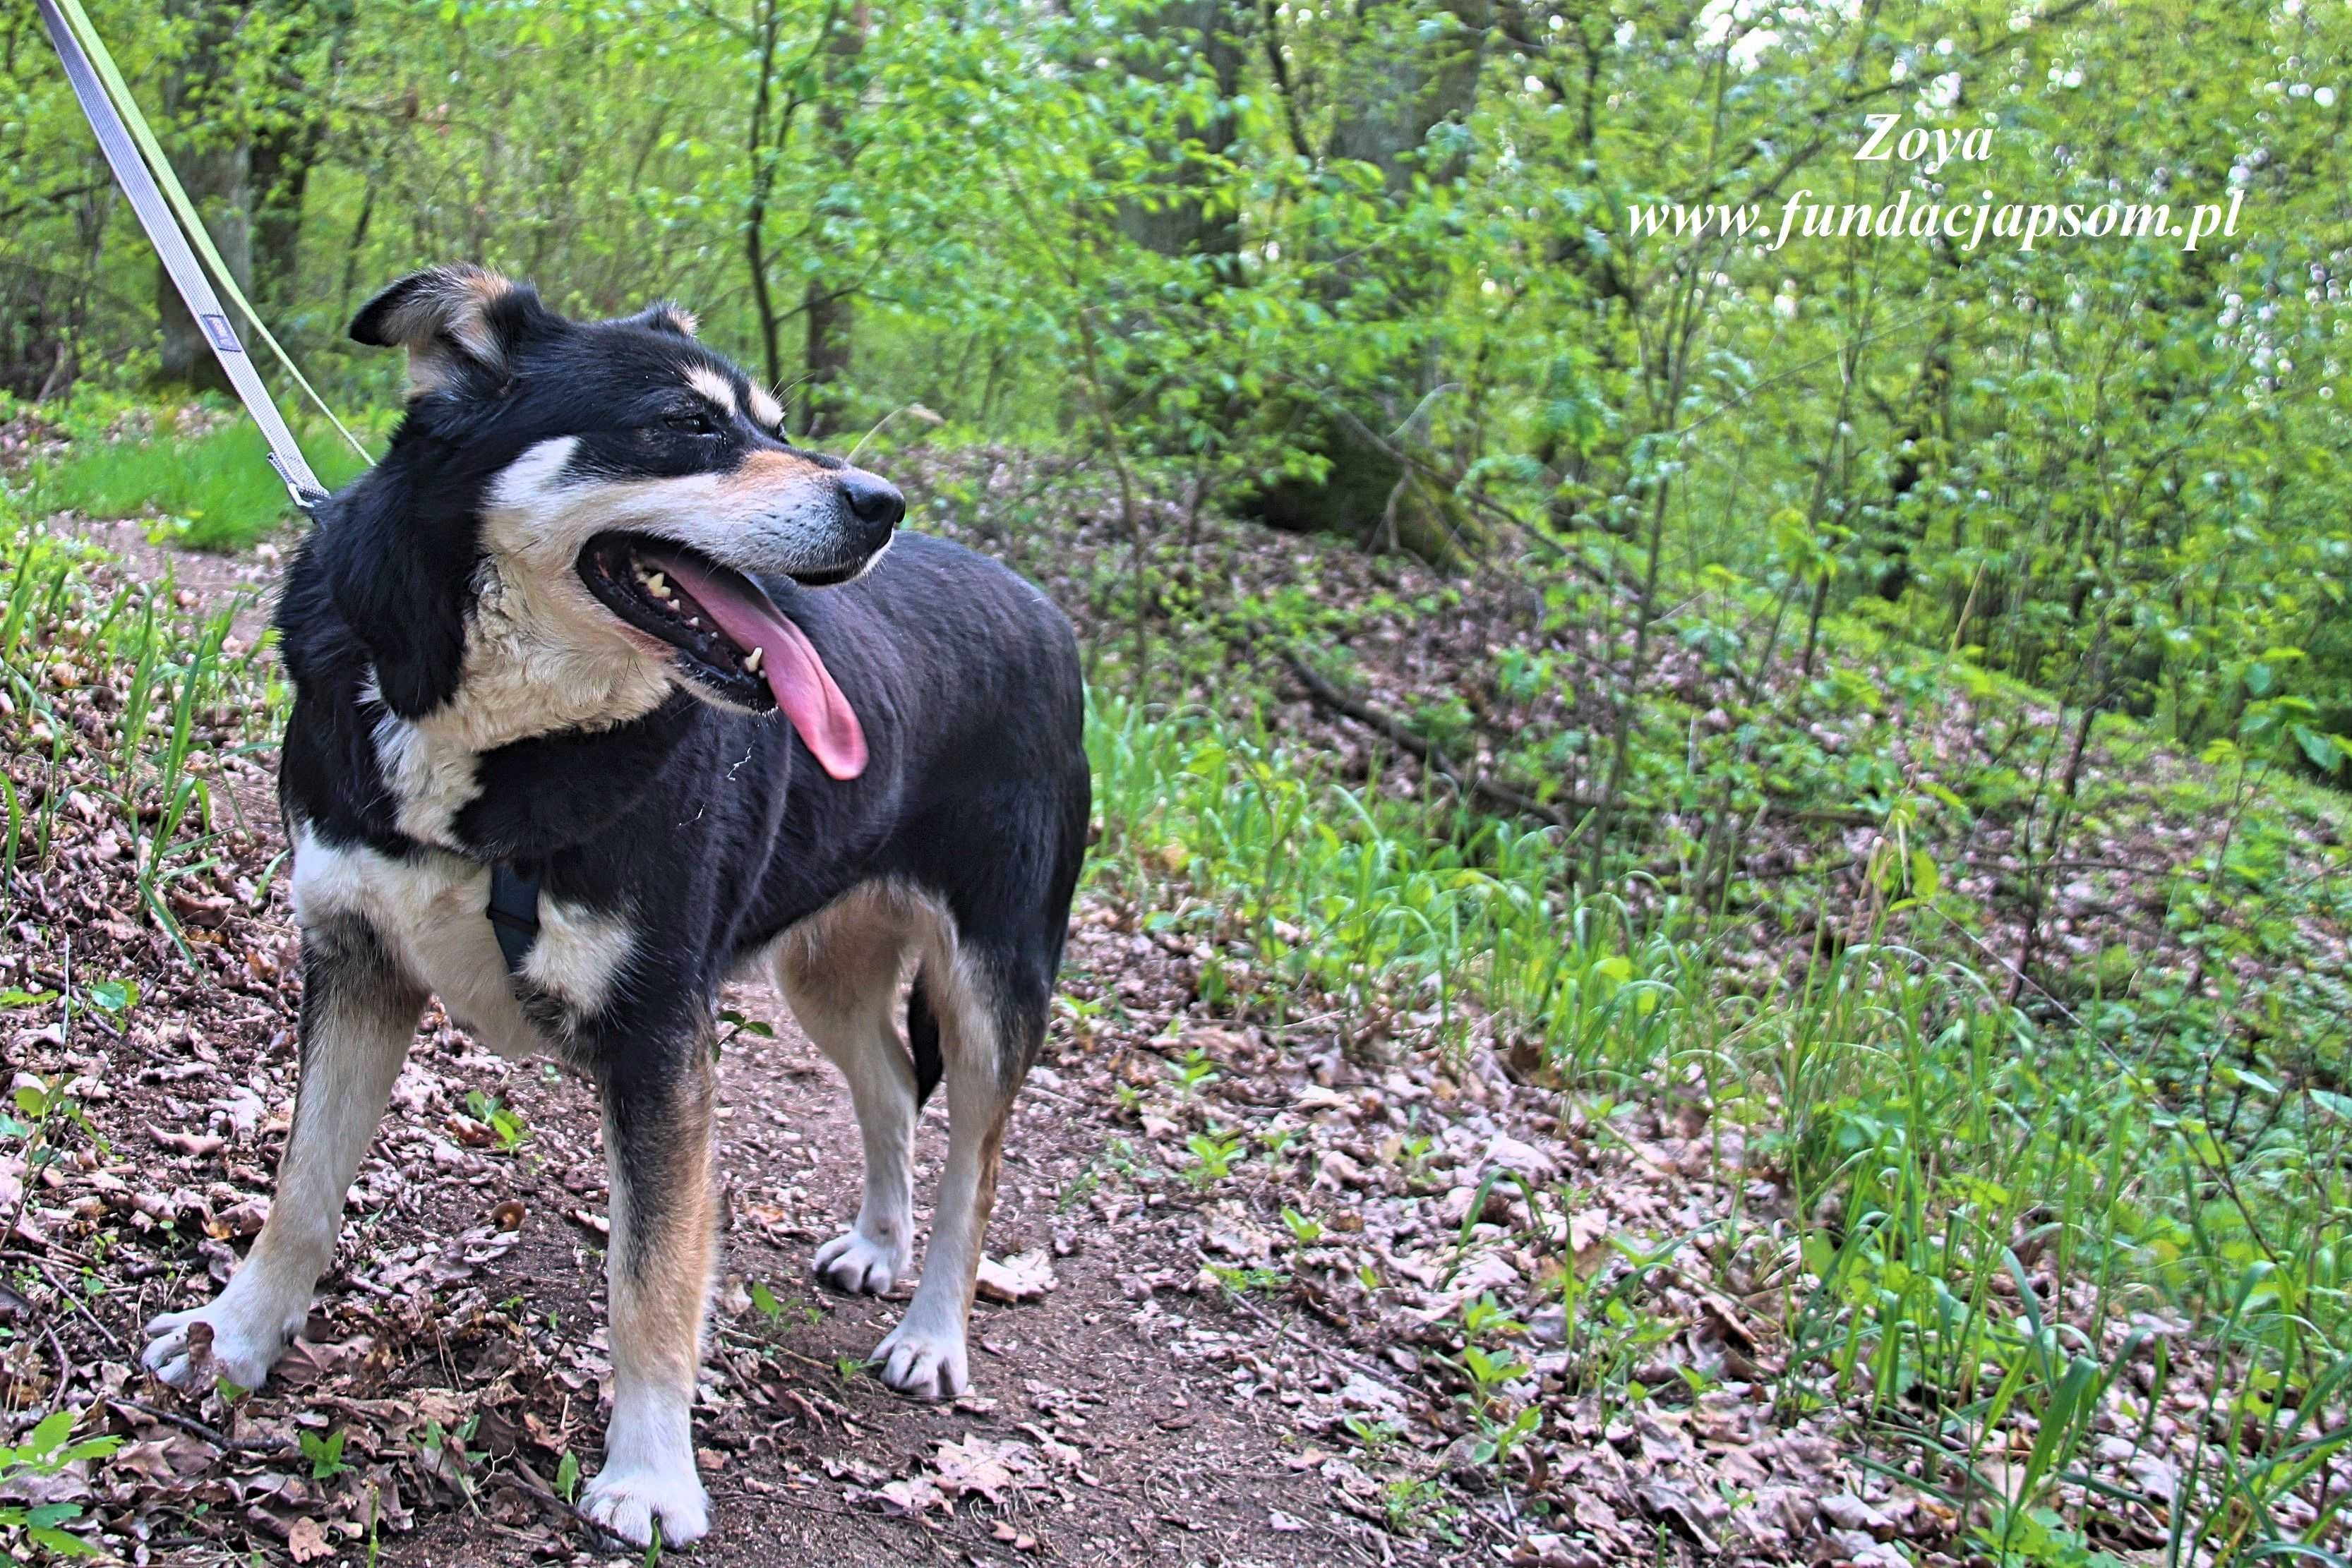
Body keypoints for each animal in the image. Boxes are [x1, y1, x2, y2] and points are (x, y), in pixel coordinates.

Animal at [142, 267, 1096, 1542]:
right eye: (689, 424)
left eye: (773, 422)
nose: (880, 502)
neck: (497, 746)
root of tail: (1044, 612)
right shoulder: (354, 960)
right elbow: (300, 1189)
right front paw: (233, 1339)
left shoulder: (659, 1034)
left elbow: (652, 1279)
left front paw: (649, 1476)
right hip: (822, 967)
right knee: (893, 1084)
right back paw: (875, 1245)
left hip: (995, 981)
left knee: (978, 1170)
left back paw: (932, 1331)